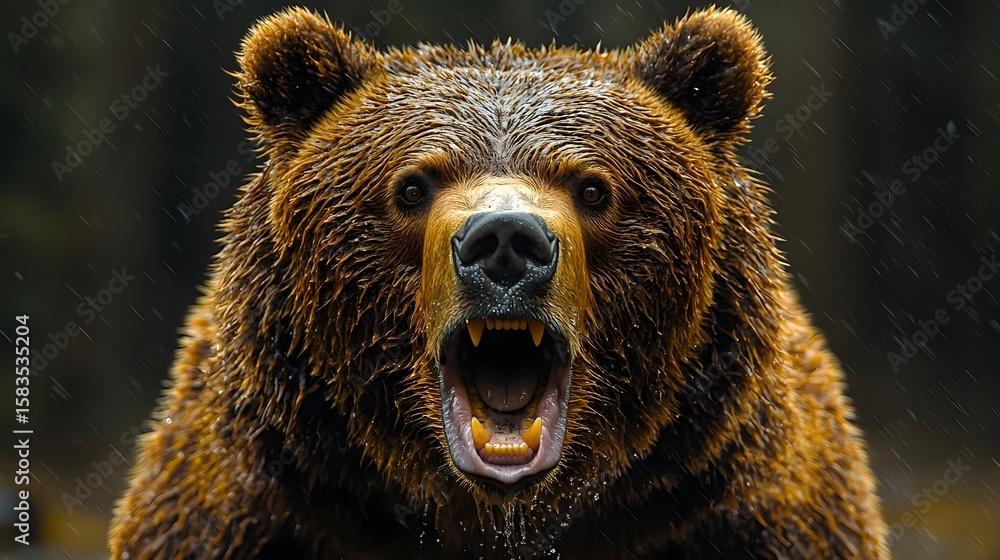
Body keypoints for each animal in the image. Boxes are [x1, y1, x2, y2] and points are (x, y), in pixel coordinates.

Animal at [109, 6, 889, 559]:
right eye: (413, 185)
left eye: (594, 188)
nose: (507, 242)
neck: (496, 519)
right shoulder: (265, 511)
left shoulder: (731, 516)